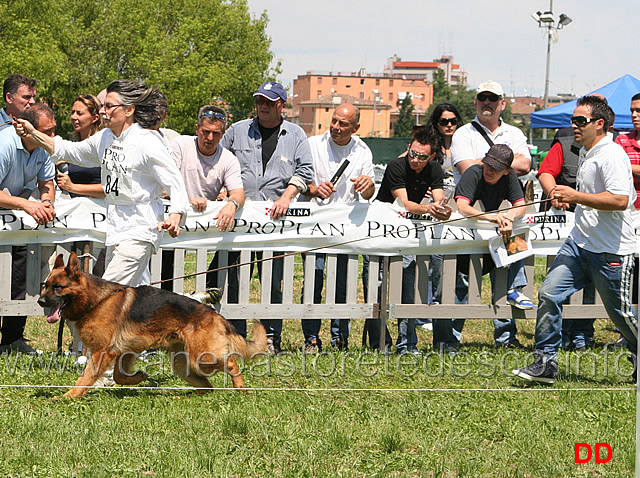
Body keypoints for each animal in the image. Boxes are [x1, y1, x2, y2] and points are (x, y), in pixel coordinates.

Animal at [38, 252, 268, 398]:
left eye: (58, 288)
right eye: (45, 286)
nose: (40, 301)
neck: (96, 300)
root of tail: (214, 314)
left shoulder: (101, 353)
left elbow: (85, 377)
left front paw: (69, 396)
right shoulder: (125, 351)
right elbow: (119, 376)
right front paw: (139, 377)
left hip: (203, 358)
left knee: (231, 364)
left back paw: (242, 389)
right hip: (182, 364)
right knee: (206, 387)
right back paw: (184, 397)